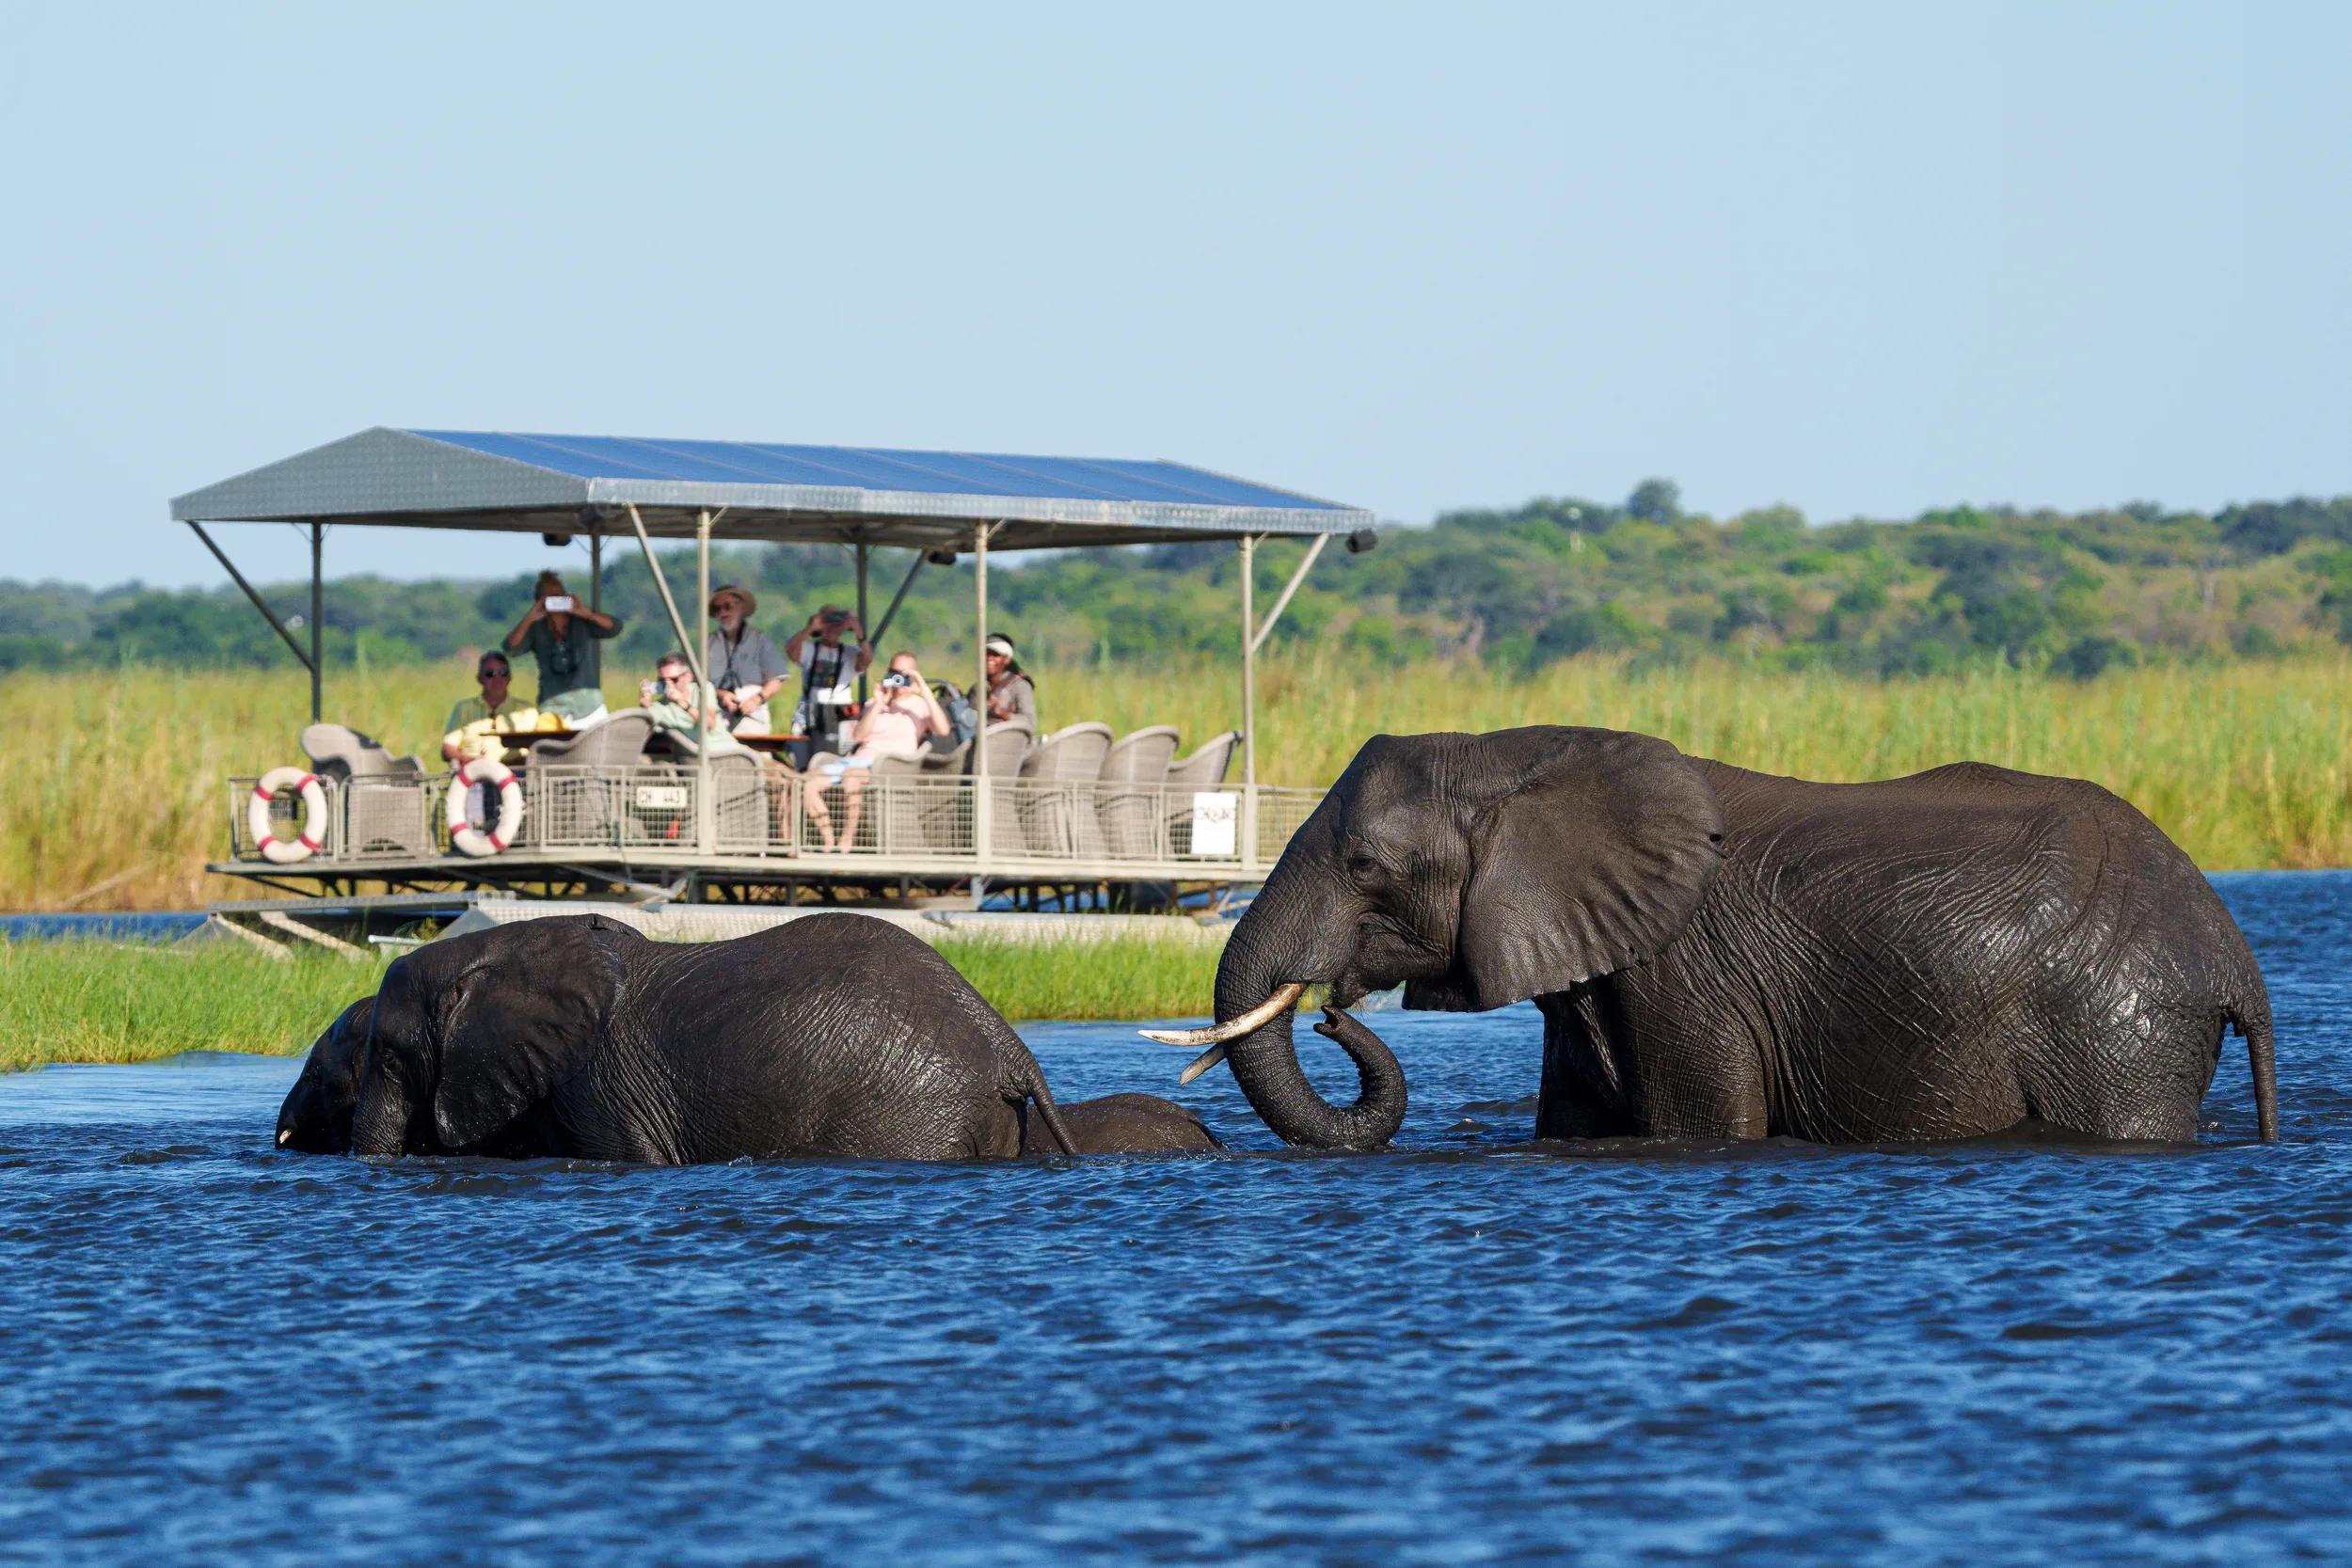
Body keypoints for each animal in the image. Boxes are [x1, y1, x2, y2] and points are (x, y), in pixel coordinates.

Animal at [1153, 726, 2278, 1149]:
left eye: (1363, 869)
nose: (1336, 1012)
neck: (1514, 754)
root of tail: (2236, 960)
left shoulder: (1686, 972)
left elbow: (1705, 1125)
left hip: (2117, 1022)